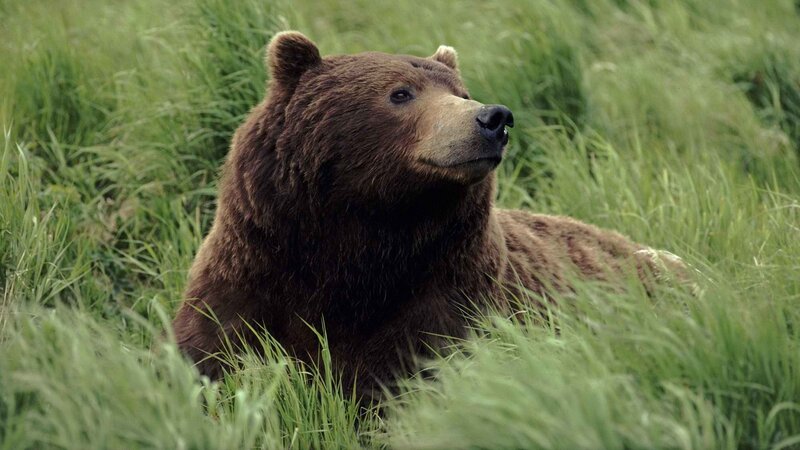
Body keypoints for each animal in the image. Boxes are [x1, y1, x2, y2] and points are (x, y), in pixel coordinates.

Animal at [172, 31, 687, 398]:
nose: (493, 118)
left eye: (461, 91)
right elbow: (216, 354)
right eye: (401, 93)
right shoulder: (255, 270)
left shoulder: (444, 291)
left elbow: (414, 372)